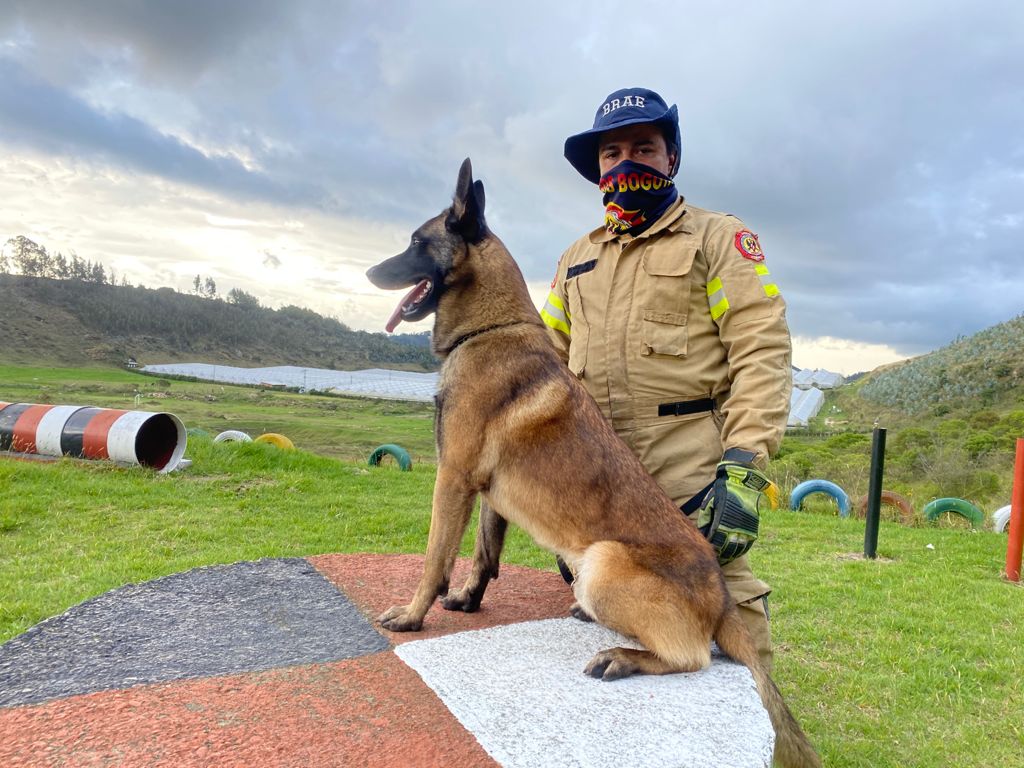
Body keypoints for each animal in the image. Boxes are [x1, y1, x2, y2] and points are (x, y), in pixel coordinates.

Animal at [364, 157, 819, 768]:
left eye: (417, 242)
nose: (369, 271)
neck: (491, 328)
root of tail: (722, 596)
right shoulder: (487, 494)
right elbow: (483, 554)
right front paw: (466, 601)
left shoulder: (452, 480)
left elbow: (436, 557)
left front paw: (414, 615)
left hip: (601, 563)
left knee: (694, 657)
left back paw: (624, 657)